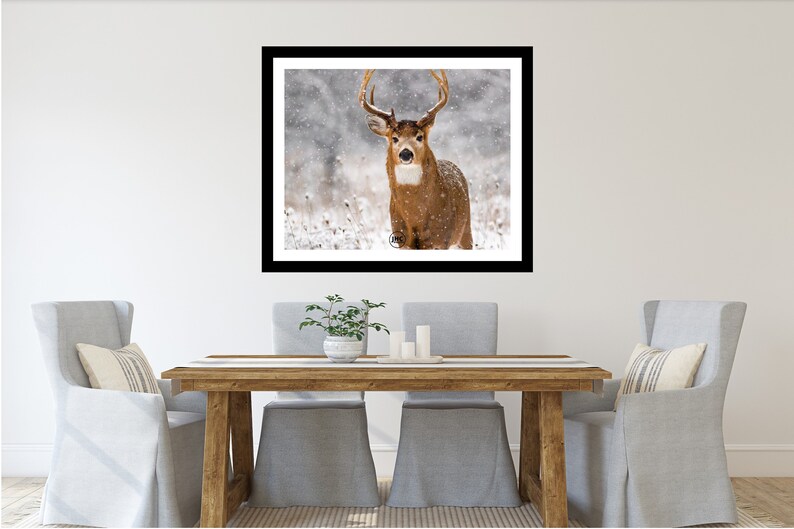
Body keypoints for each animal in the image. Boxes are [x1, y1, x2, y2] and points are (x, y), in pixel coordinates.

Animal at [359, 69, 473, 250]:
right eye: (395, 138)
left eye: (419, 137)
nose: (406, 154)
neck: (415, 216)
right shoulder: (401, 239)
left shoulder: (441, 239)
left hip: (465, 232)